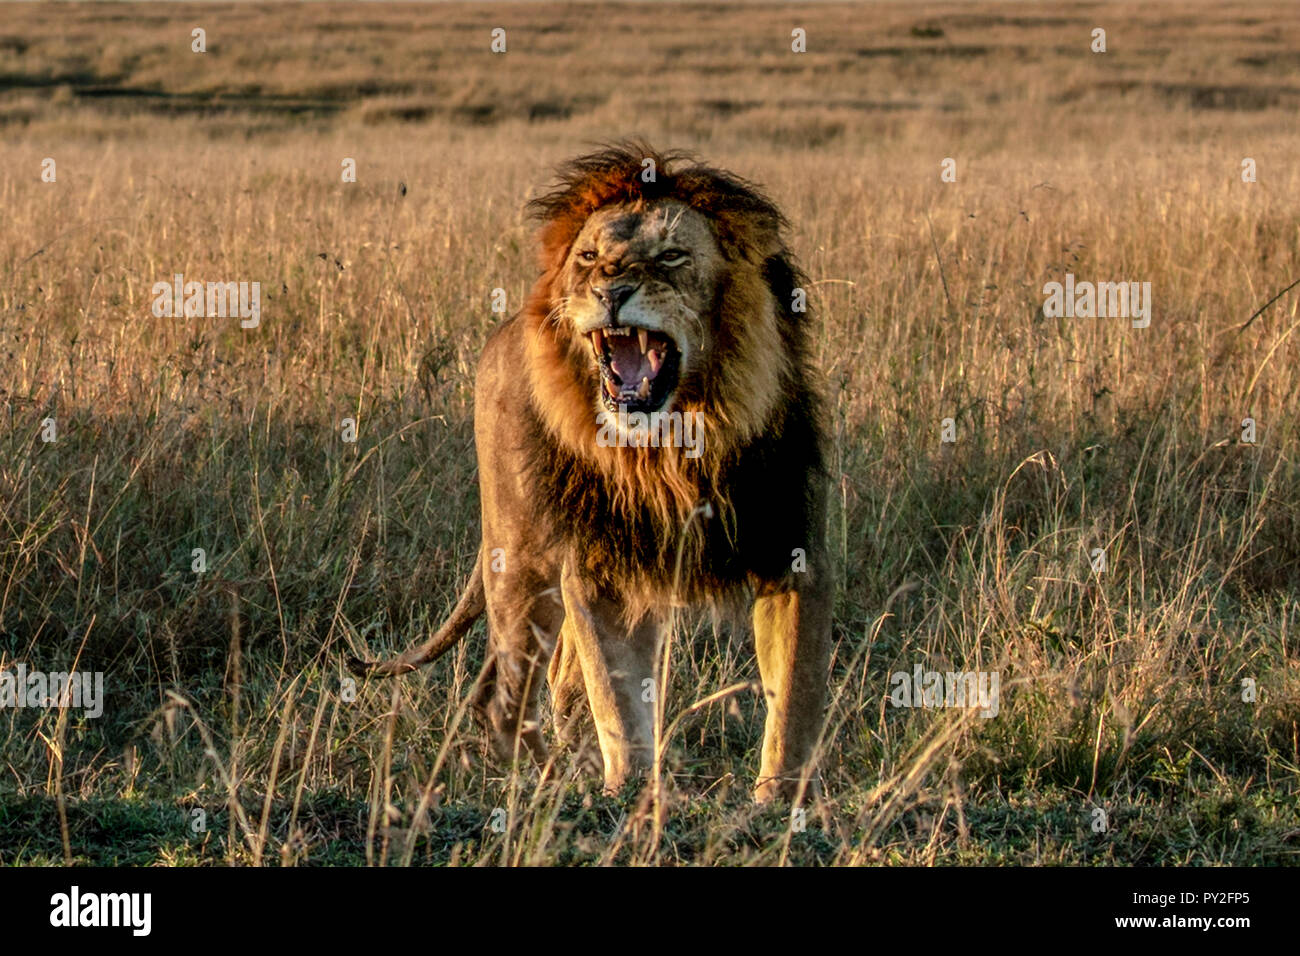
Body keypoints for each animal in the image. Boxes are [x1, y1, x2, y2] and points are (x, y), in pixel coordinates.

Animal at [350, 143, 832, 803]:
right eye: (588, 257)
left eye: (671, 256)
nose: (611, 289)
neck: (671, 452)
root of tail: (505, 332)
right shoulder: (602, 572)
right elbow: (619, 699)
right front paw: (633, 793)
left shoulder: (791, 552)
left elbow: (794, 696)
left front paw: (780, 801)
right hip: (520, 565)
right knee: (502, 699)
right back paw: (547, 784)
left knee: (546, 681)